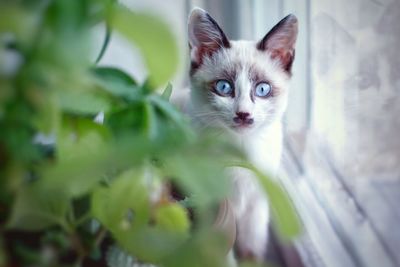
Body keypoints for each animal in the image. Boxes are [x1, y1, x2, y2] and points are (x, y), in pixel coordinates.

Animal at [186, 7, 296, 262]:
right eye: (224, 87)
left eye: (262, 89)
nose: (244, 114)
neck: (241, 151)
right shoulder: (215, 211)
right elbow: (225, 256)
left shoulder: (257, 206)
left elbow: (251, 252)